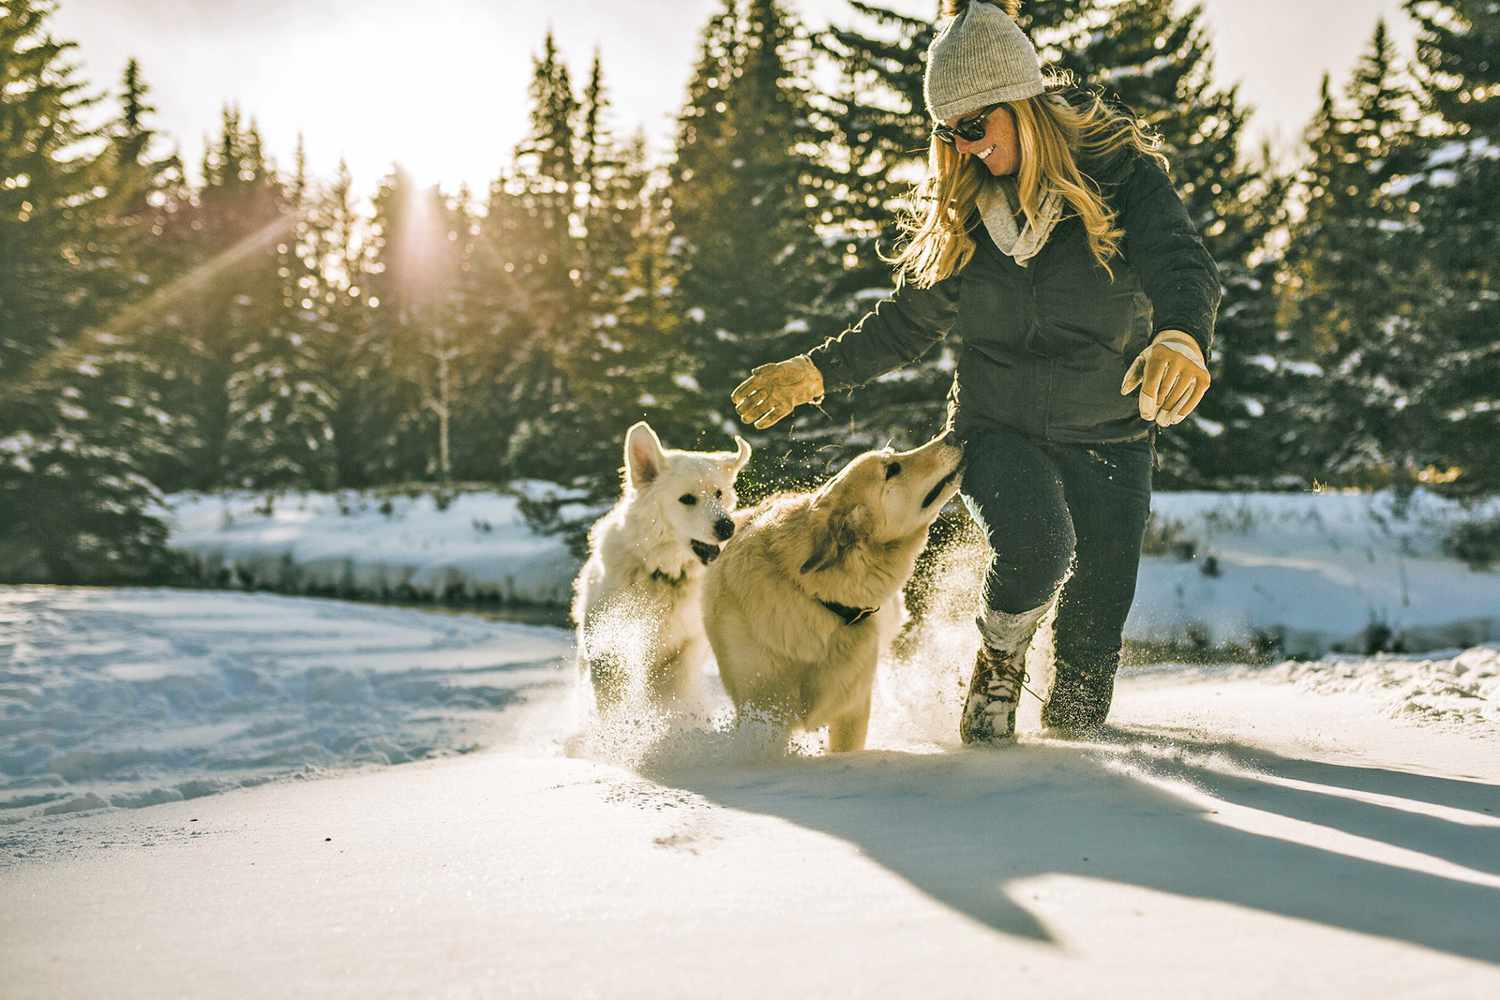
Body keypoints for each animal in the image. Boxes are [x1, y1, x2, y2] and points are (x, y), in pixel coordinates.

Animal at [567, 422, 750, 710]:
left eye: (719, 493)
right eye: (687, 499)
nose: (727, 527)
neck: (663, 573)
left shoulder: (685, 647)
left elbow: (670, 693)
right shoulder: (610, 647)